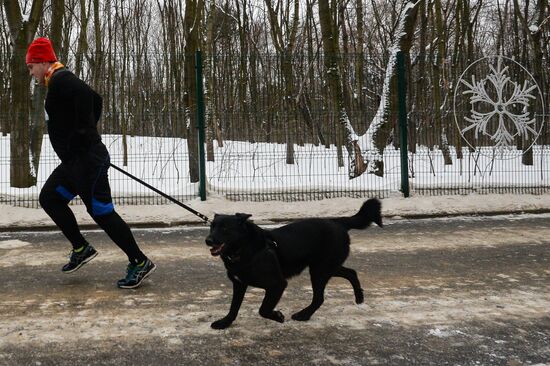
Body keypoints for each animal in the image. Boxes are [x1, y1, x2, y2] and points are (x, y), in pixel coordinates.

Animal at [205, 199, 382, 330]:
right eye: (212, 226)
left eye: (225, 228)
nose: (208, 240)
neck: (245, 249)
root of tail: (338, 222)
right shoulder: (239, 284)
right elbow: (233, 307)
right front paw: (224, 323)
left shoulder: (277, 284)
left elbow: (263, 309)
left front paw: (277, 316)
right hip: (326, 267)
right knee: (351, 272)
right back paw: (359, 298)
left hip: (320, 270)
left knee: (319, 298)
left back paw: (304, 315)